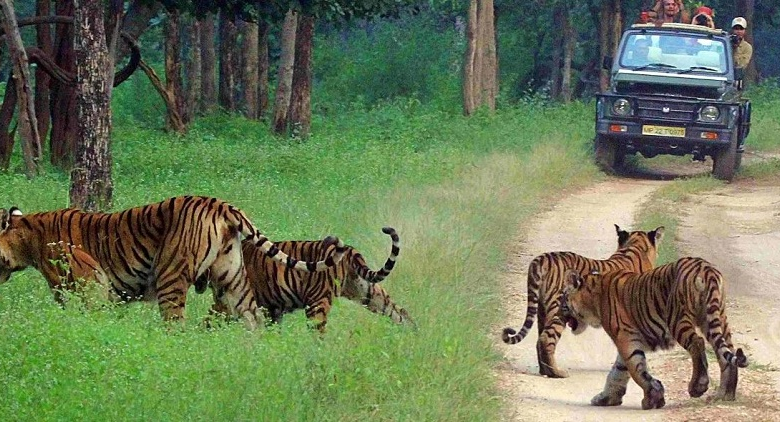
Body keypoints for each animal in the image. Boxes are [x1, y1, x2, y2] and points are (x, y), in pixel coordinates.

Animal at [0, 196, 346, 329]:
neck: (28, 237)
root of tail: (221, 205)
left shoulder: (89, 284)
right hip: (233, 278)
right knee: (253, 320)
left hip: (170, 275)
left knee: (176, 324)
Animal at [206, 227, 412, 331]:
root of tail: (350, 250)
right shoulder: (273, 309)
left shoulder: (227, 303)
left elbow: (208, 321)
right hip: (368, 292)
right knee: (400, 312)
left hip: (317, 302)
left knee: (318, 333)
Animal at [501, 224, 664, 378]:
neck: (635, 246)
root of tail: (541, 259)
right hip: (559, 309)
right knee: (546, 339)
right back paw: (557, 373)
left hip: (542, 310)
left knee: (539, 340)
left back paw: (545, 371)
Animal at [560, 257, 748, 410]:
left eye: (563, 298)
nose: (559, 315)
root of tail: (705, 268)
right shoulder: (628, 340)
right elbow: (619, 370)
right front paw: (606, 398)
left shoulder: (625, 338)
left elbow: (637, 370)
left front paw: (651, 398)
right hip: (716, 318)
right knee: (727, 353)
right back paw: (725, 395)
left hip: (677, 318)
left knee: (697, 343)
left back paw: (697, 386)